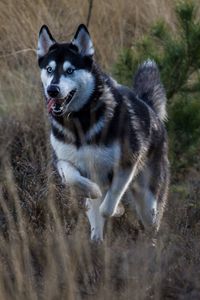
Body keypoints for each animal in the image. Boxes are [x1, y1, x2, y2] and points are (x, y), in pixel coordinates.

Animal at [37, 24, 169, 241]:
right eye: (49, 69)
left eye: (70, 70)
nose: (52, 90)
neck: (79, 122)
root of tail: (149, 108)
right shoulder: (63, 161)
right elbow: (75, 179)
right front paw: (93, 190)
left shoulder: (126, 163)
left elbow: (109, 203)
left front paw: (116, 209)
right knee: (95, 219)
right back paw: (96, 240)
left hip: (149, 200)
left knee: (150, 221)